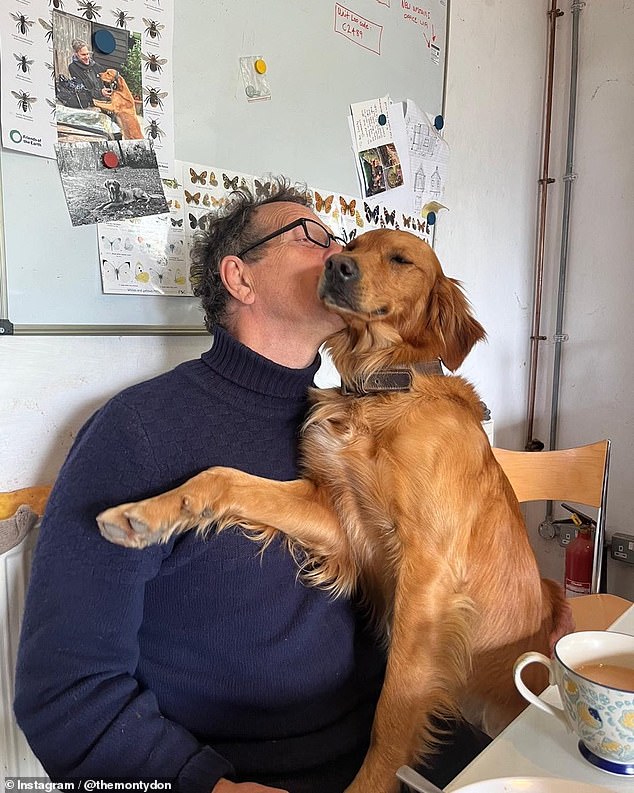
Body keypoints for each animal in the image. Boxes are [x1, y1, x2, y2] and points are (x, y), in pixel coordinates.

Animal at [97, 229, 564, 792]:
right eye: (350, 243)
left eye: (400, 259)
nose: (337, 266)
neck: (380, 388)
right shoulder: (341, 518)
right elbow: (224, 477)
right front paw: (146, 512)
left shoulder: (429, 572)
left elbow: (393, 706)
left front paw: (372, 781)